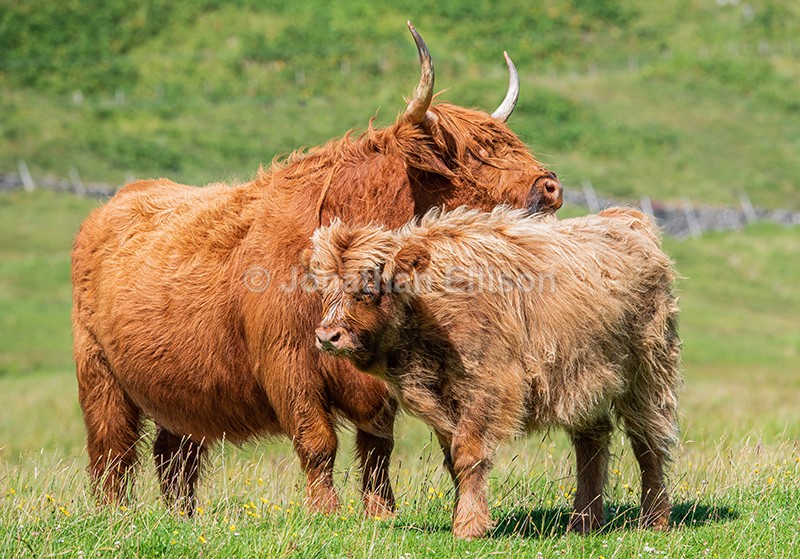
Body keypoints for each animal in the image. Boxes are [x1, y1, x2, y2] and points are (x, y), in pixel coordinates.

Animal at [71, 23, 563, 519]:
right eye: (469, 153)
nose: (550, 186)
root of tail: (116, 202)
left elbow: (377, 445)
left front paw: (380, 511)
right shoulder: (288, 362)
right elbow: (317, 442)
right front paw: (325, 511)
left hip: (180, 387)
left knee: (175, 454)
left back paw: (183, 518)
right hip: (98, 373)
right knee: (112, 449)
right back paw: (111, 514)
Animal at [308, 206, 681, 539]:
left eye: (367, 290)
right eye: (324, 290)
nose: (327, 336)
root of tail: (626, 218)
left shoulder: (488, 388)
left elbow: (469, 454)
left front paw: (468, 526)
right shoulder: (444, 403)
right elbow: (453, 459)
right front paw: (464, 514)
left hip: (647, 372)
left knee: (648, 442)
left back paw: (654, 520)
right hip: (582, 379)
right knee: (593, 440)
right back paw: (584, 521)